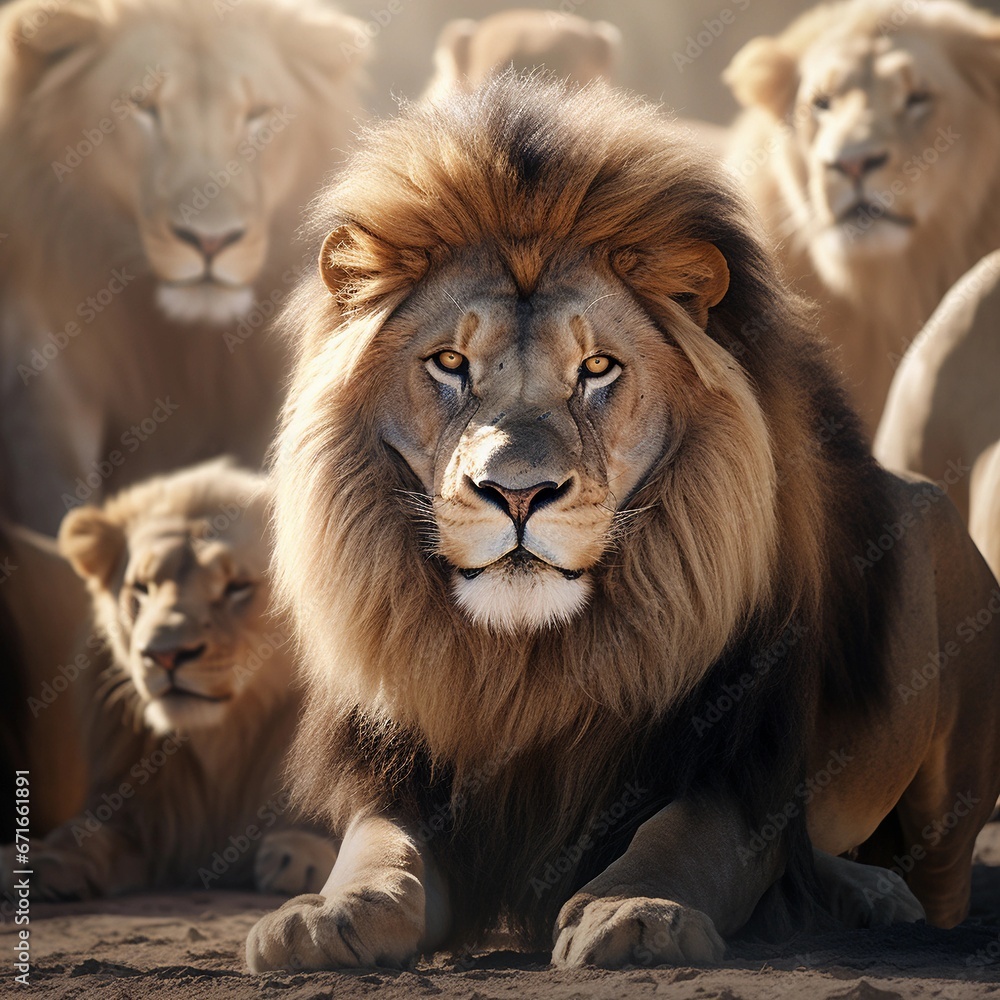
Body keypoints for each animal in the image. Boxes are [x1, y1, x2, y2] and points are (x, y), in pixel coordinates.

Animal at [0, 459, 338, 900]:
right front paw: (41, 859)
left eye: (237, 587)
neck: (222, 751)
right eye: (141, 589)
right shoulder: (141, 818)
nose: (164, 654)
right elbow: (87, 834)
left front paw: (302, 851)